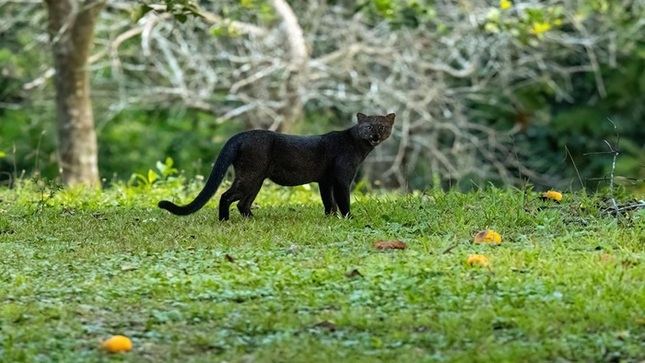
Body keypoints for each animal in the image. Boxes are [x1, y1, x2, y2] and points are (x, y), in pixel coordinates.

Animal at [158, 113, 394, 222]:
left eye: (382, 127)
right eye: (368, 126)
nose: (375, 135)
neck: (359, 146)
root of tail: (239, 136)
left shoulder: (325, 181)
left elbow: (329, 202)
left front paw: (330, 218)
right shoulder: (342, 179)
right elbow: (343, 200)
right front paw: (349, 218)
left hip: (256, 179)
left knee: (242, 203)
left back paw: (252, 220)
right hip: (250, 176)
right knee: (226, 196)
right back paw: (225, 221)